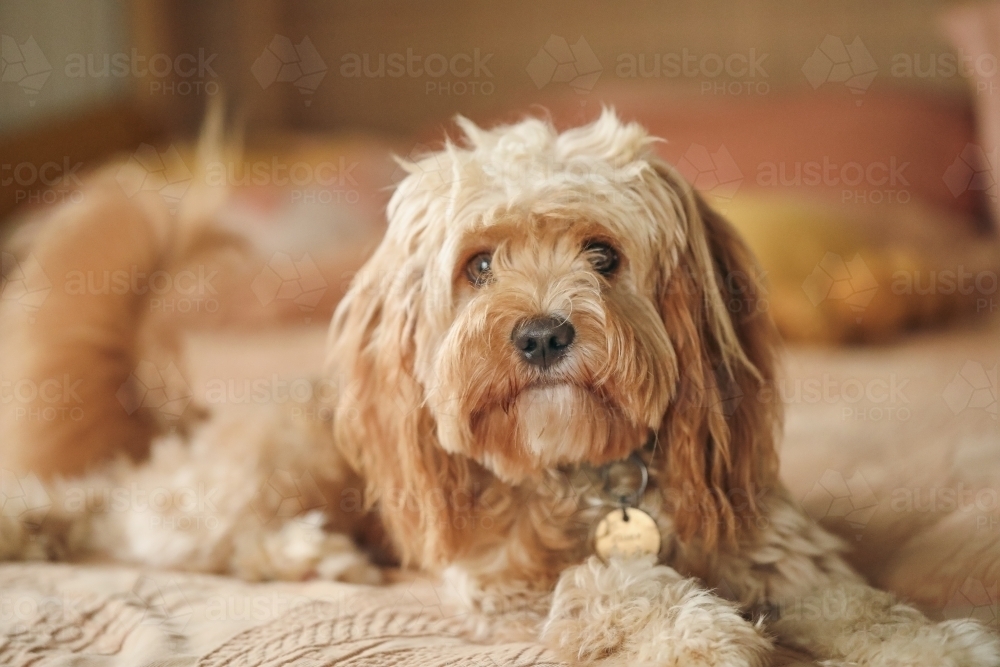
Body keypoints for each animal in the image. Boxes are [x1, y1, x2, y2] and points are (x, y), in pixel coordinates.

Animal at [0, 112, 996, 664]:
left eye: (603, 255)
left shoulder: (779, 548)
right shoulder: (505, 587)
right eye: (478, 265)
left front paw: (936, 644)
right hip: (278, 466)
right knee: (122, 509)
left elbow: (866, 607)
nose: (544, 333)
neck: (592, 475)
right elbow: (612, 587)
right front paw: (699, 634)